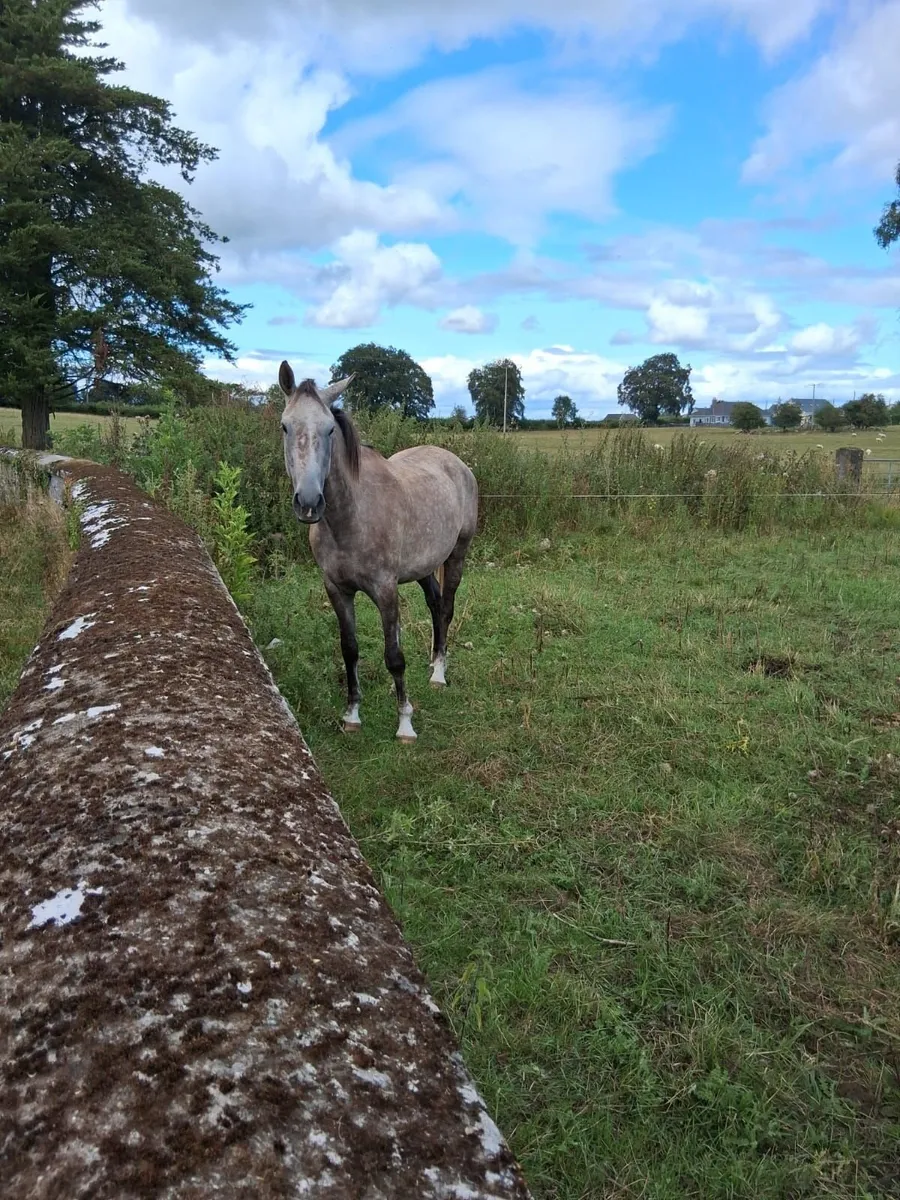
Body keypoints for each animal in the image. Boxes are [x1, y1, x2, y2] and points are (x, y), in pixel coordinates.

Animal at [278, 361, 479, 743]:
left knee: (446, 608)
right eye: (284, 426)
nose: (308, 503)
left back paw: (438, 674)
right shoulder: (337, 589)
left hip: (457, 555)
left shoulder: (385, 590)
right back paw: (432, 662)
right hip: (423, 567)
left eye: (329, 429)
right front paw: (352, 715)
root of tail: (456, 462)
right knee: (434, 604)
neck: (350, 517)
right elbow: (350, 649)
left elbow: (394, 655)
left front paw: (405, 724)